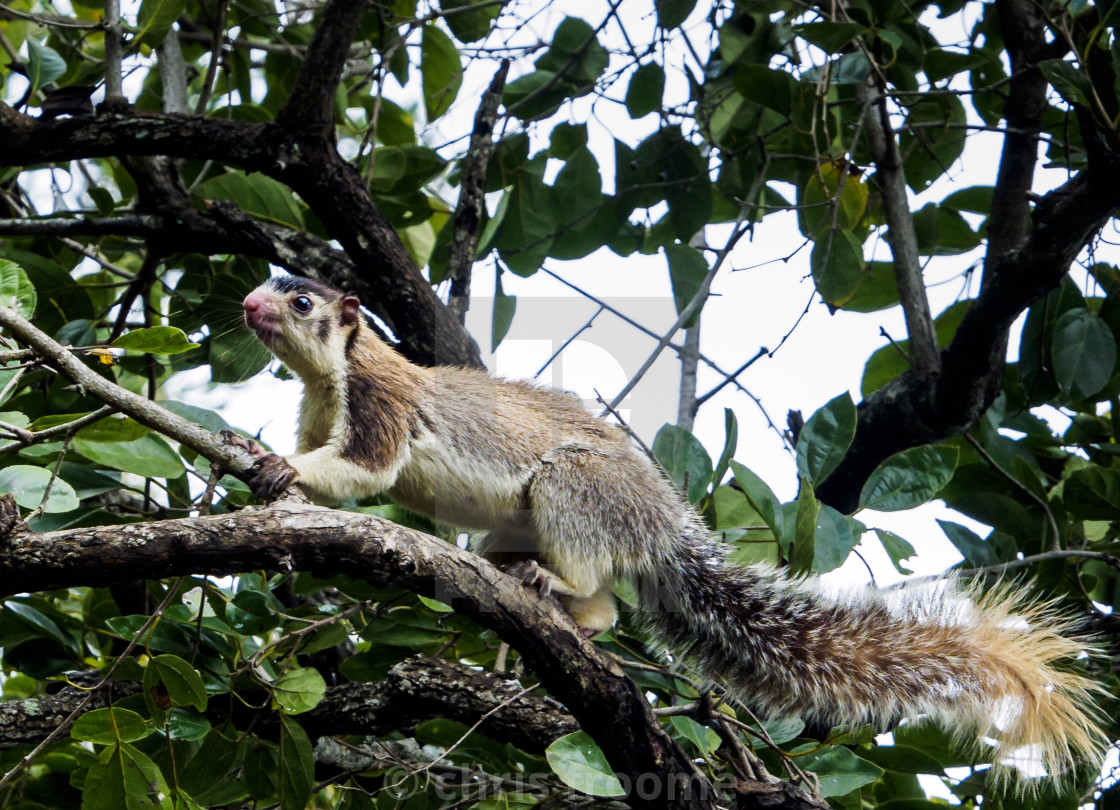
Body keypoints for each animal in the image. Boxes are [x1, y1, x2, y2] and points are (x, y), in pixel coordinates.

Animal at [240, 274, 1106, 793]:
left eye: (303, 301)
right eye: (266, 286)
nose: (249, 307)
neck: (332, 379)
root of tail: (661, 527)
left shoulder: (382, 405)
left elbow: (365, 471)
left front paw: (275, 466)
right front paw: (274, 470)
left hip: (578, 489)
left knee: (601, 596)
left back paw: (567, 596)